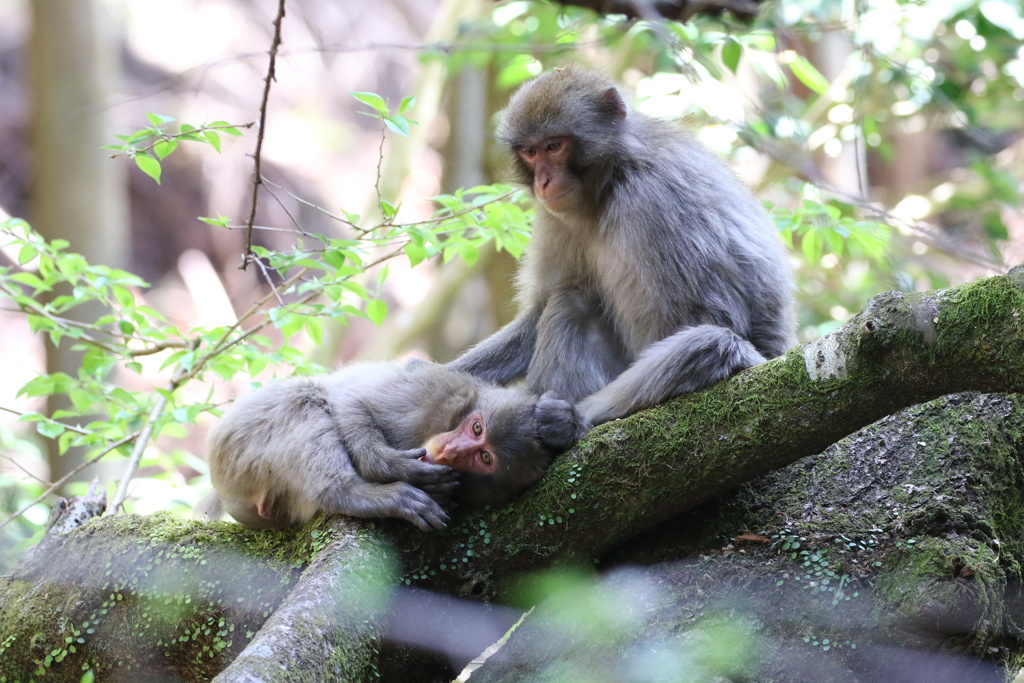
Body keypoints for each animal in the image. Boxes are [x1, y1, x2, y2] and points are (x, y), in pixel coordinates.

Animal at [195, 360, 581, 532]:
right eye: (476, 428)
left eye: (484, 457)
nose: (451, 451)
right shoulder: (431, 393)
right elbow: (350, 400)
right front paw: (393, 467)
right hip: (239, 439)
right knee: (305, 397)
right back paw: (359, 494)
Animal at [452, 63, 794, 428]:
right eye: (530, 152)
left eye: (554, 145)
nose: (543, 181)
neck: (611, 180)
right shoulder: (556, 217)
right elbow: (538, 311)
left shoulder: (653, 199)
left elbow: (714, 318)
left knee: (715, 343)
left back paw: (574, 419)